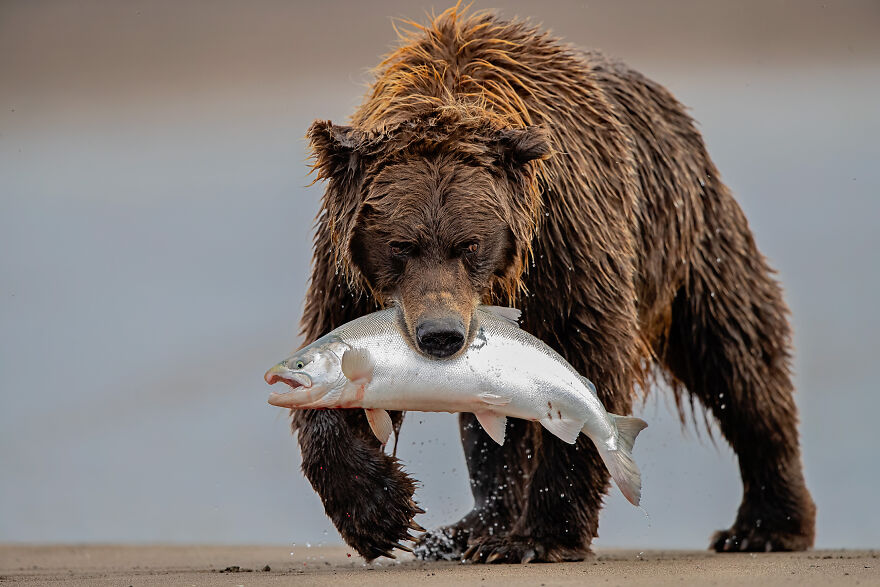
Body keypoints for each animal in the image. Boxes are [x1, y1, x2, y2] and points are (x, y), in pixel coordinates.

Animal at [291, 6, 815, 563]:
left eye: (469, 244)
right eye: (399, 245)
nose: (440, 336)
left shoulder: (566, 238)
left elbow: (588, 354)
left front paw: (539, 538)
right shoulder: (347, 270)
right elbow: (331, 358)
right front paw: (381, 513)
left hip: (689, 238)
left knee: (737, 356)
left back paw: (765, 525)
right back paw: (468, 530)